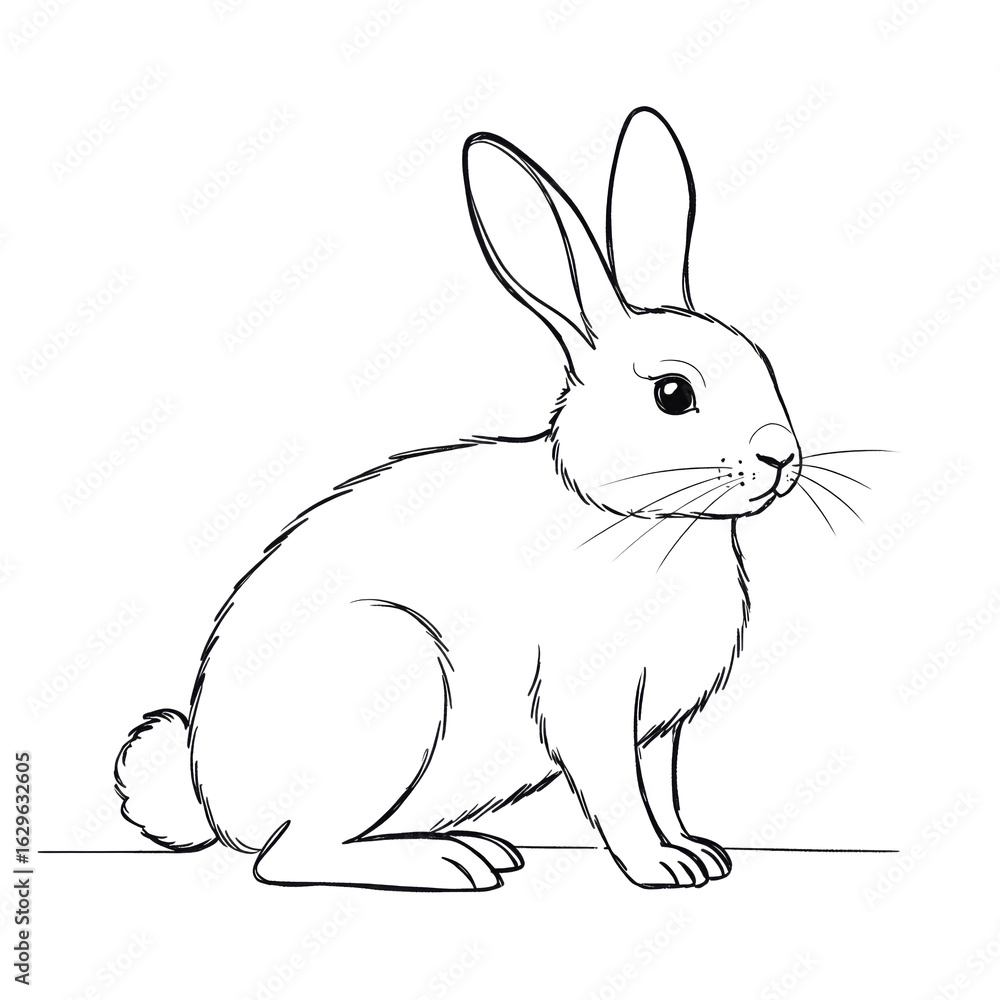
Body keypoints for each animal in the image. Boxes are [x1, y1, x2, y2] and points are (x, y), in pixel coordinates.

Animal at [114, 107, 801, 891]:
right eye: (673, 394)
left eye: (763, 363)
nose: (781, 456)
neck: (648, 521)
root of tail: (210, 798)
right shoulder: (589, 708)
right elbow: (618, 797)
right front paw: (659, 867)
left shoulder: (659, 728)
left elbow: (663, 789)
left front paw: (697, 854)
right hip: (392, 678)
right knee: (288, 858)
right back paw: (449, 864)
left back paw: (480, 846)